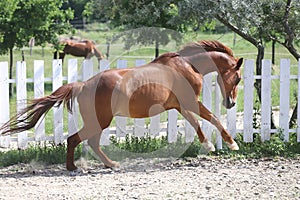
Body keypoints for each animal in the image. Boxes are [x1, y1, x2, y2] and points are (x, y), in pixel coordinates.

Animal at [0, 39, 243, 171]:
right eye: (238, 78)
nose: (230, 103)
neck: (187, 65)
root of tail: (83, 85)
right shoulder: (191, 101)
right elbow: (212, 118)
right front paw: (231, 144)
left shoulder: (181, 105)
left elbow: (196, 124)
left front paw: (209, 145)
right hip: (100, 120)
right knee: (77, 140)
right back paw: (77, 167)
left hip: (99, 121)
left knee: (89, 142)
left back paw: (109, 165)